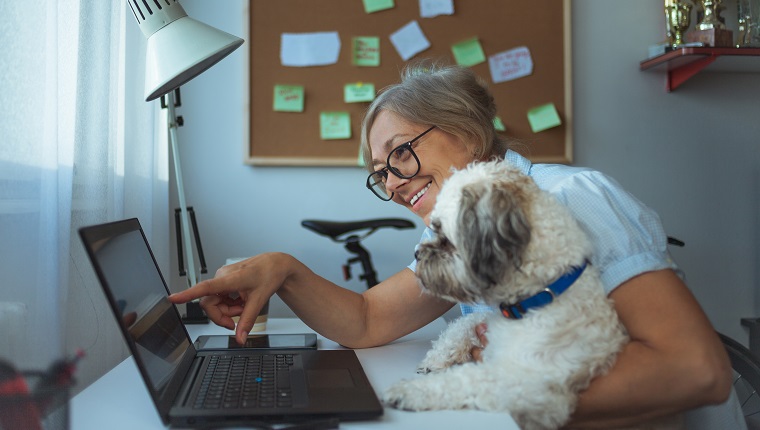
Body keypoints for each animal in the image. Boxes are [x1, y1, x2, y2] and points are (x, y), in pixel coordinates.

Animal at [382, 160, 680, 430]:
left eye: (442, 233)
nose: (417, 253)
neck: (539, 298)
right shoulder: (492, 323)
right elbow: (463, 323)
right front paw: (436, 357)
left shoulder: (529, 384)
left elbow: (464, 379)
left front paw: (410, 390)